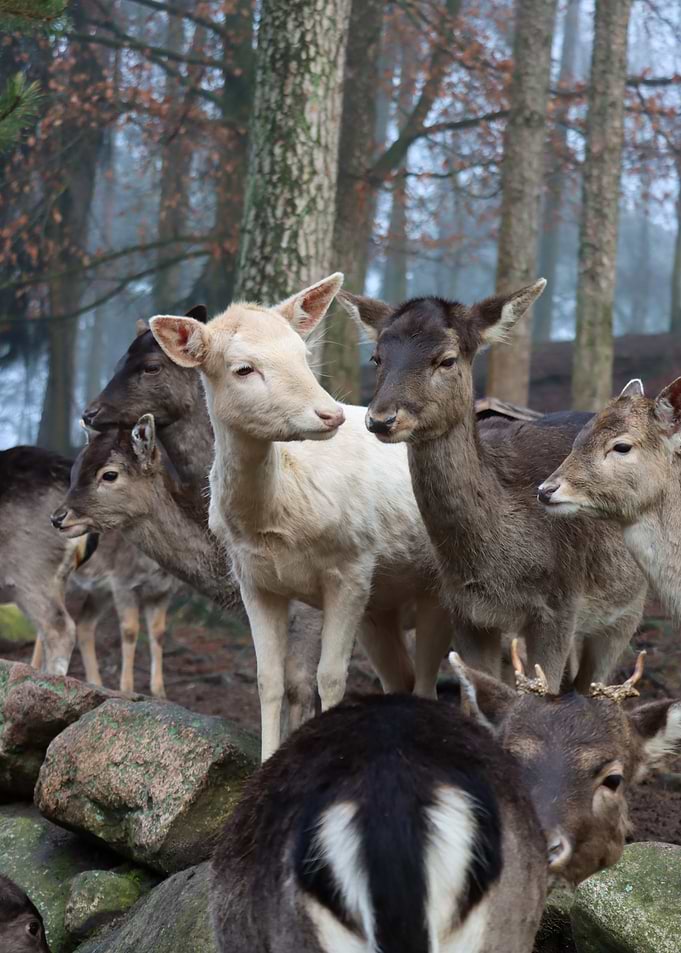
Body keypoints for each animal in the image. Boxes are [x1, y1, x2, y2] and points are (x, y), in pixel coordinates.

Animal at [1, 445, 177, 695]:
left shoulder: (160, 591)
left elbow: (155, 632)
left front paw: (156, 693)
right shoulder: (125, 583)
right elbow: (134, 630)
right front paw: (131, 689)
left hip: (33, 571)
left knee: (66, 626)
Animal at [149, 274, 457, 760]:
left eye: (302, 354)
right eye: (243, 368)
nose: (330, 413)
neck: (276, 521)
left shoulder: (353, 565)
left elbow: (329, 678)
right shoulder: (252, 580)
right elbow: (268, 679)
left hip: (437, 589)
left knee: (430, 680)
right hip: (385, 603)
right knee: (404, 679)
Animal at [337, 281, 648, 694]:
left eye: (447, 359)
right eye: (376, 357)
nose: (382, 419)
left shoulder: (560, 604)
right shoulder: (466, 611)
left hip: (629, 606)